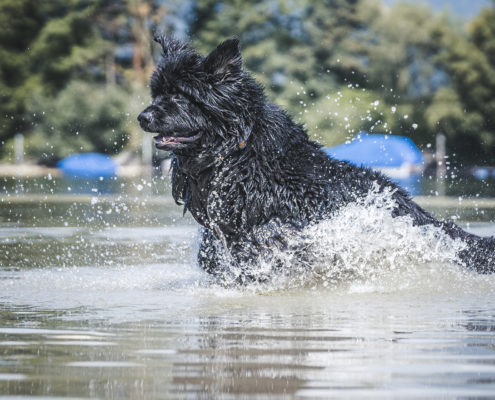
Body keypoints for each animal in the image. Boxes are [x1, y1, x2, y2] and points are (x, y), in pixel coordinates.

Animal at [140, 36, 495, 282]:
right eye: (156, 93)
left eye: (180, 96)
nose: (143, 117)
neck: (237, 153)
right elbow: (214, 250)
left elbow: (270, 236)